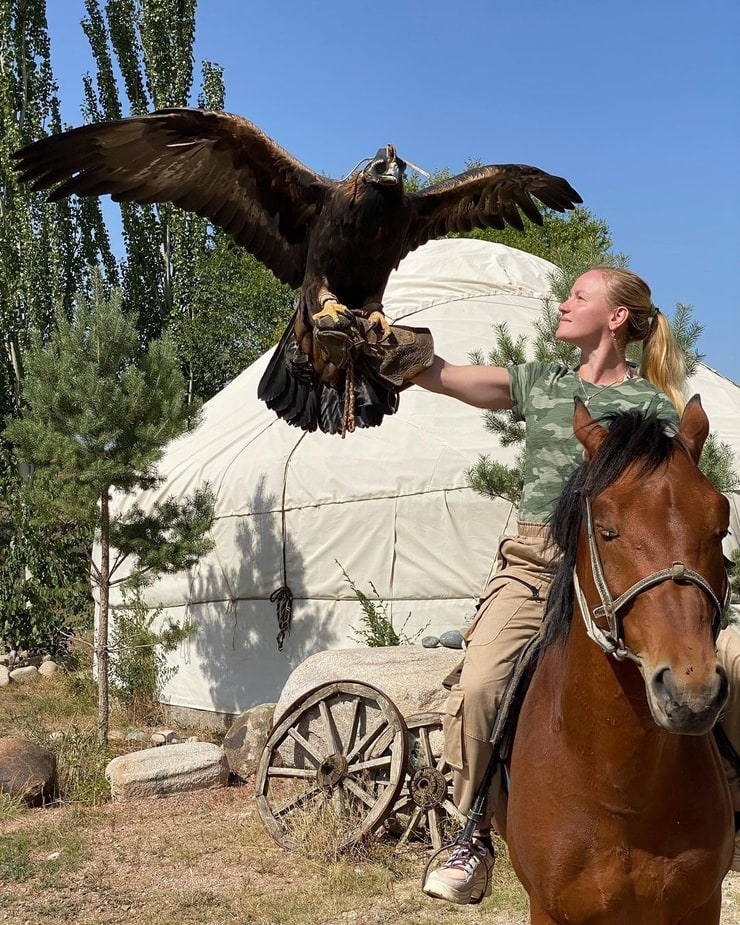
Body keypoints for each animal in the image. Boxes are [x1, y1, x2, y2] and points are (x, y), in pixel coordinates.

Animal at [502, 396, 736, 924]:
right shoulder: (548, 910)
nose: (691, 691)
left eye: (721, 527)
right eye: (607, 530)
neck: (618, 794)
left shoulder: (701, 906)